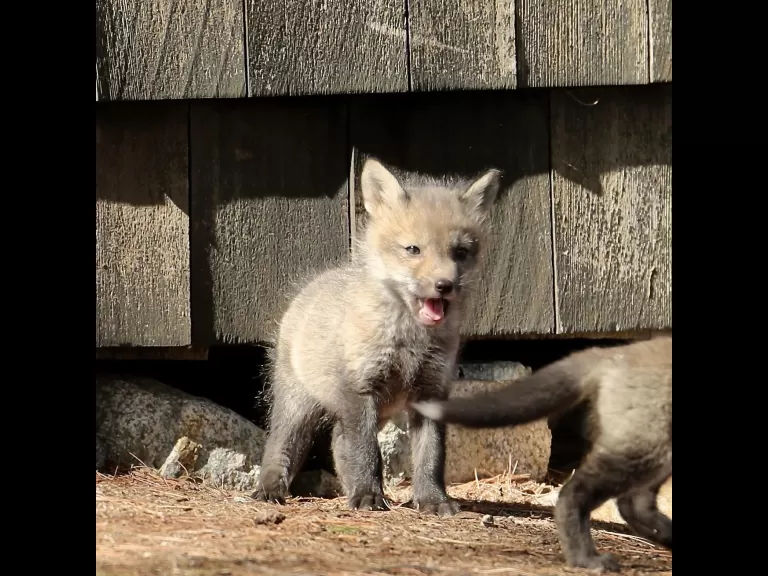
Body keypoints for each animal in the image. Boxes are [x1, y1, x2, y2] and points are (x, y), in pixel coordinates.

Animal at [251, 157, 502, 516]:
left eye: (460, 252)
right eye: (413, 249)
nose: (444, 285)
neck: (410, 340)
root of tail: (312, 284)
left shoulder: (432, 390)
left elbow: (431, 456)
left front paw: (432, 500)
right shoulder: (361, 388)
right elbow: (366, 453)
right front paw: (369, 496)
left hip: (377, 411)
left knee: (339, 440)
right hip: (299, 405)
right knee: (281, 445)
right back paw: (271, 488)